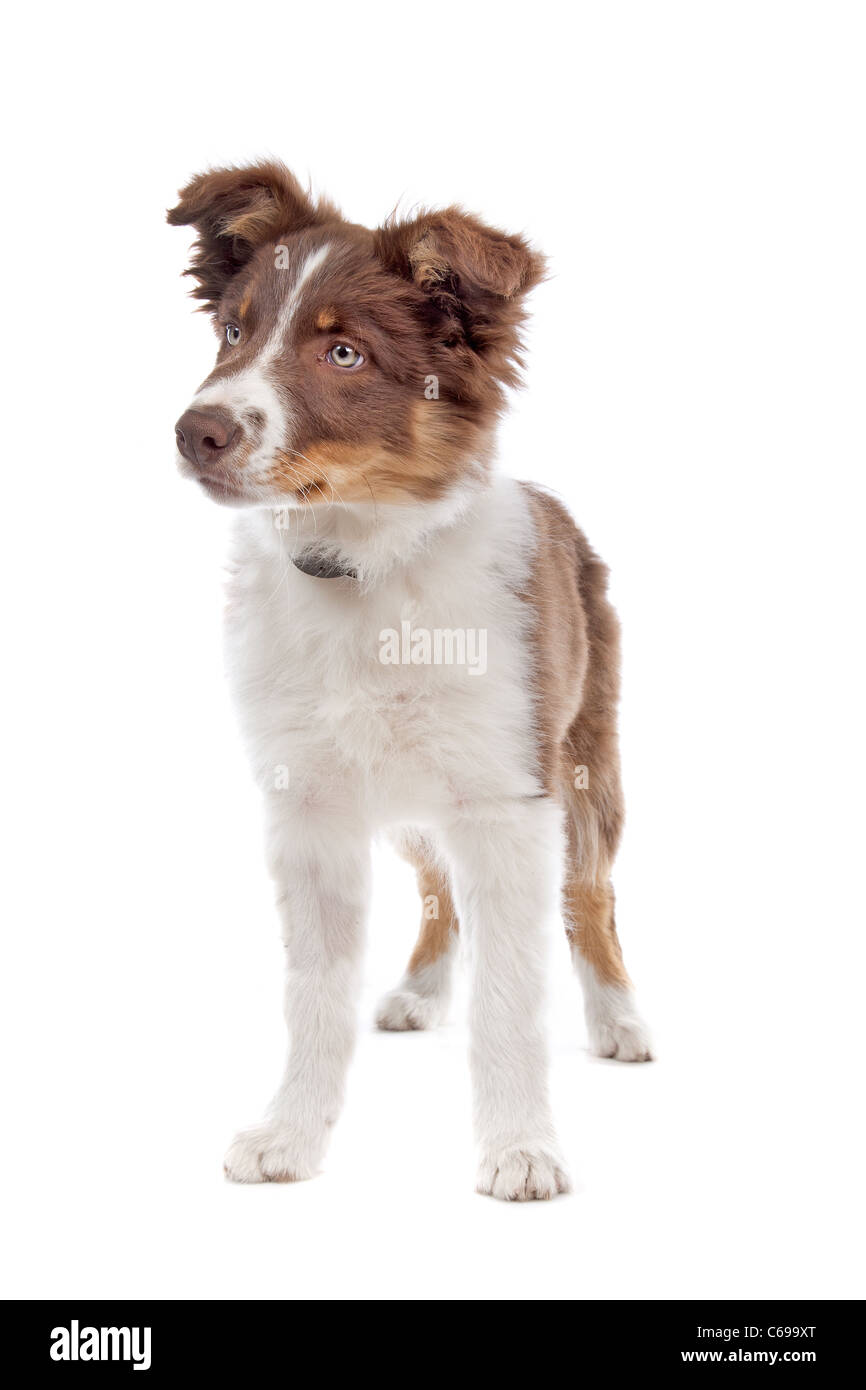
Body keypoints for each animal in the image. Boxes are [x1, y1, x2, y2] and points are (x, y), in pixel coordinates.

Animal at [167, 162, 650, 1200]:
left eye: (344, 352)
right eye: (233, 331)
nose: (195, 432)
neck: (362, 567)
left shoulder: (508, 802)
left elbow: (510, 998)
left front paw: (521, 1149)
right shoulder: (307, 805)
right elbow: (312, 994)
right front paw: (291, 1135)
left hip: (585, 763)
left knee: (591, 896)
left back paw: (620, 1019)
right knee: (436, 884)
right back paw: (422, 992)